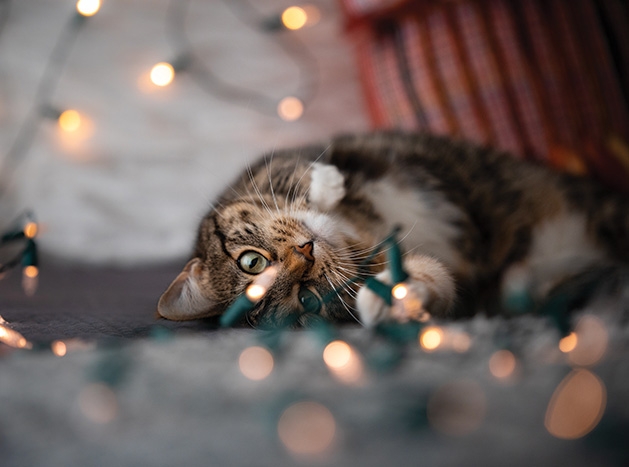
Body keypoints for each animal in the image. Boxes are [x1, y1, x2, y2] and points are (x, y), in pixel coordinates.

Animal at [157, 132, 628, 330]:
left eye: (252, 261)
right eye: (307, 299)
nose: (306, 251)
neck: (355, 230)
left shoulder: (272, 166)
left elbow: (298, 170)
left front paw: (327, 184)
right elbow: (429, 278)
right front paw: (395, 301)